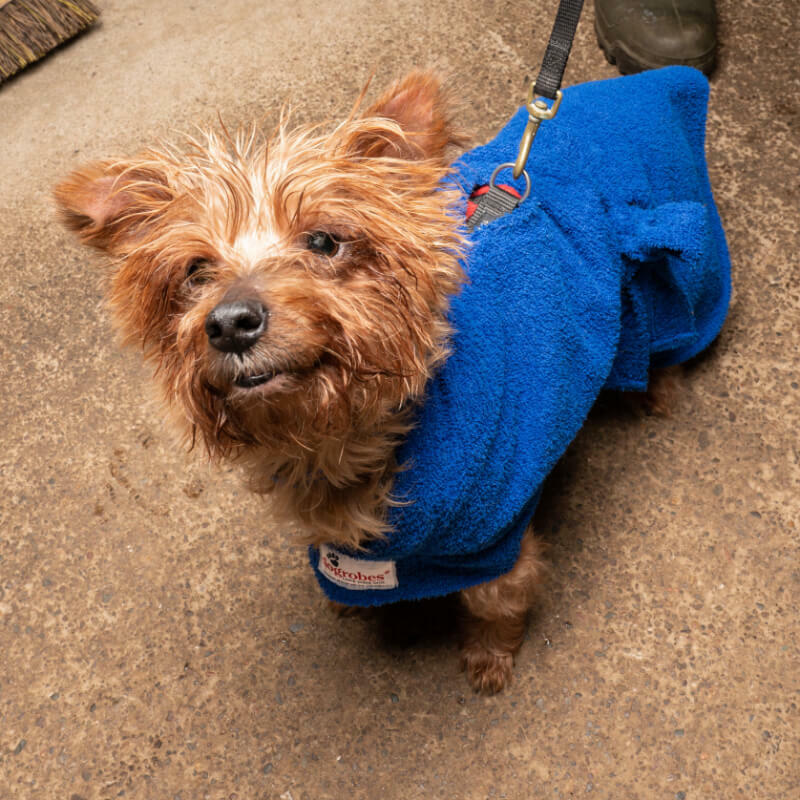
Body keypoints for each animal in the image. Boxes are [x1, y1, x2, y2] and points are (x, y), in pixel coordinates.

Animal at [54, 69, 732, 692]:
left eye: (323, 240)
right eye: (195, 272)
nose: (228, 322)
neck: (344, 444)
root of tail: (646, 81)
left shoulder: (496, 536)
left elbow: (496, 601)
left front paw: (489, 658)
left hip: (681, 276)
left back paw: (660, 391)